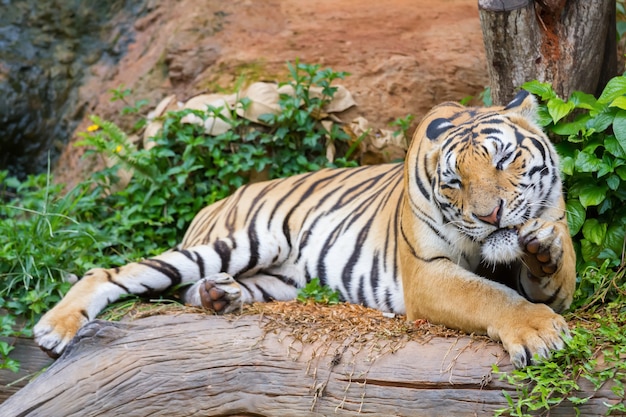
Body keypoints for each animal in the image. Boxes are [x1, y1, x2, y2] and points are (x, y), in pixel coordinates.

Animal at [31, 90, 572, 368]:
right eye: (455, 182)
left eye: (504, 159)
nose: (489, 216)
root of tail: (215, 202)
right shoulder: (427, 273)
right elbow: (489, 296)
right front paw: (539, 332)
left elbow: (553, 271)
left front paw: (543, 250)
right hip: (246, 240)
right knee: (109, 272)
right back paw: (54, 329)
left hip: (278, 280)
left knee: (194, 290)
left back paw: (220, 297)